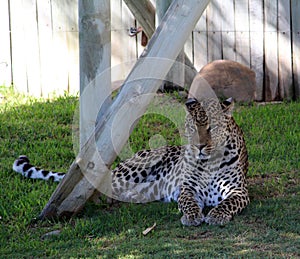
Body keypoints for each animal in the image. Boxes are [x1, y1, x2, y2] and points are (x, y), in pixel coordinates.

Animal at [12, 96, 250, 226]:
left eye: (212, 128)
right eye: (191, 128)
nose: (198, 146)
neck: (210, 161)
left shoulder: (238, 191)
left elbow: (227, 203)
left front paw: (216, 215)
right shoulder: (188, 189)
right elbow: (189, 203)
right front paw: (191, 217)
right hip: (133, 171)